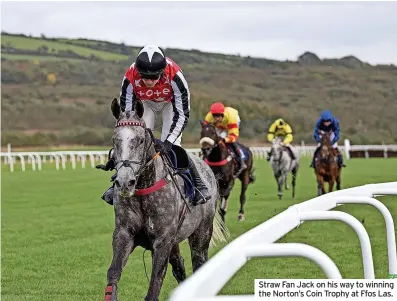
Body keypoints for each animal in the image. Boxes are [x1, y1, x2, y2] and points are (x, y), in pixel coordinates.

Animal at [100, 99, 227, 300]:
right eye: (115, 139)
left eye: (140, 140)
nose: (125, 182)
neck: (144, 190)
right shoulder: (124, 234)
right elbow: (113, 274)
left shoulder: (163, 240)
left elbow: (155, 284)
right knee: (179, 266)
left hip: (201, 234)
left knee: (199, 261)